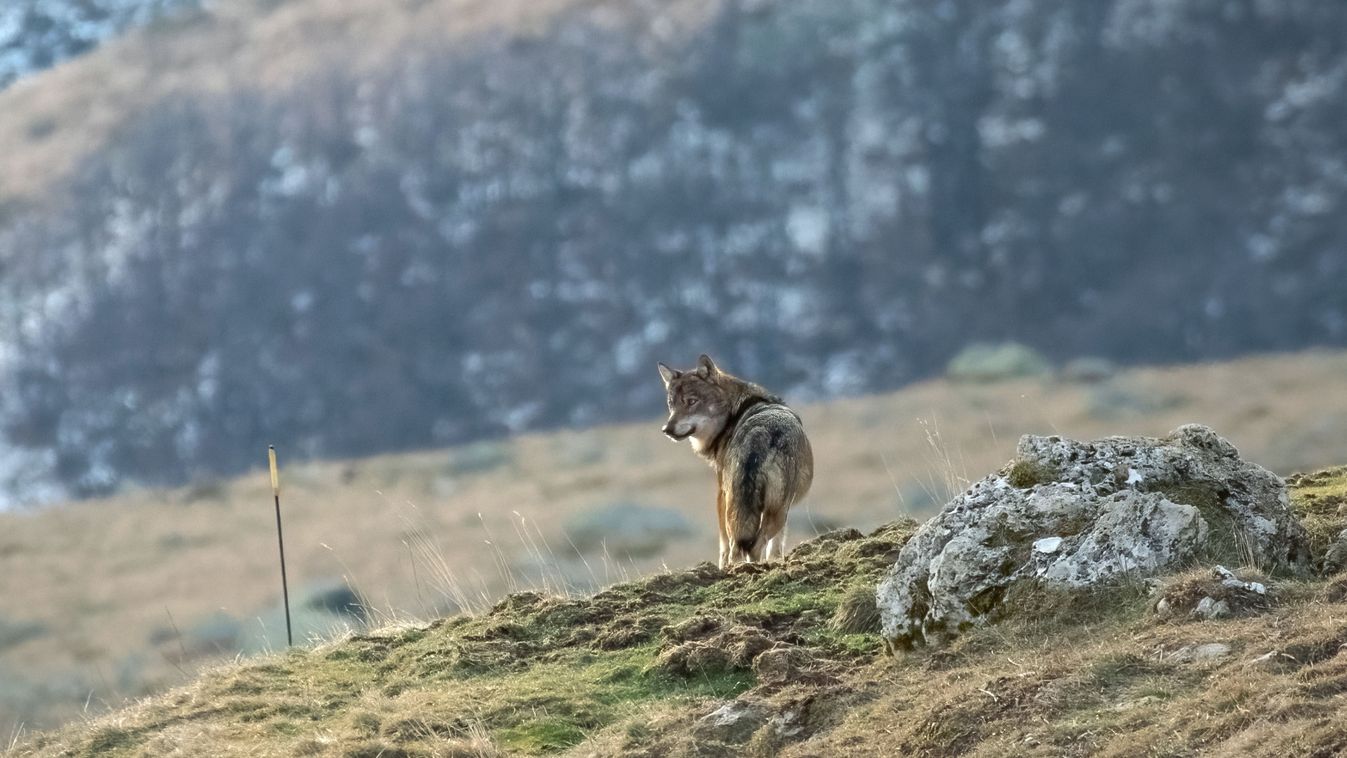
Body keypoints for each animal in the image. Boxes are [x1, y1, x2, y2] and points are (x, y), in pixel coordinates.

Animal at [657, 355, 813, 570]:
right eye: (671, 405)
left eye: (691, 402)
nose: (667, 429)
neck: (734, 413)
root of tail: (759, 435)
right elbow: (775, 545)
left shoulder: (720, 493)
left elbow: (725, 545)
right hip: (774, 511)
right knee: (753, 544)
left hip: (744, 508)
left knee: (741, 548)